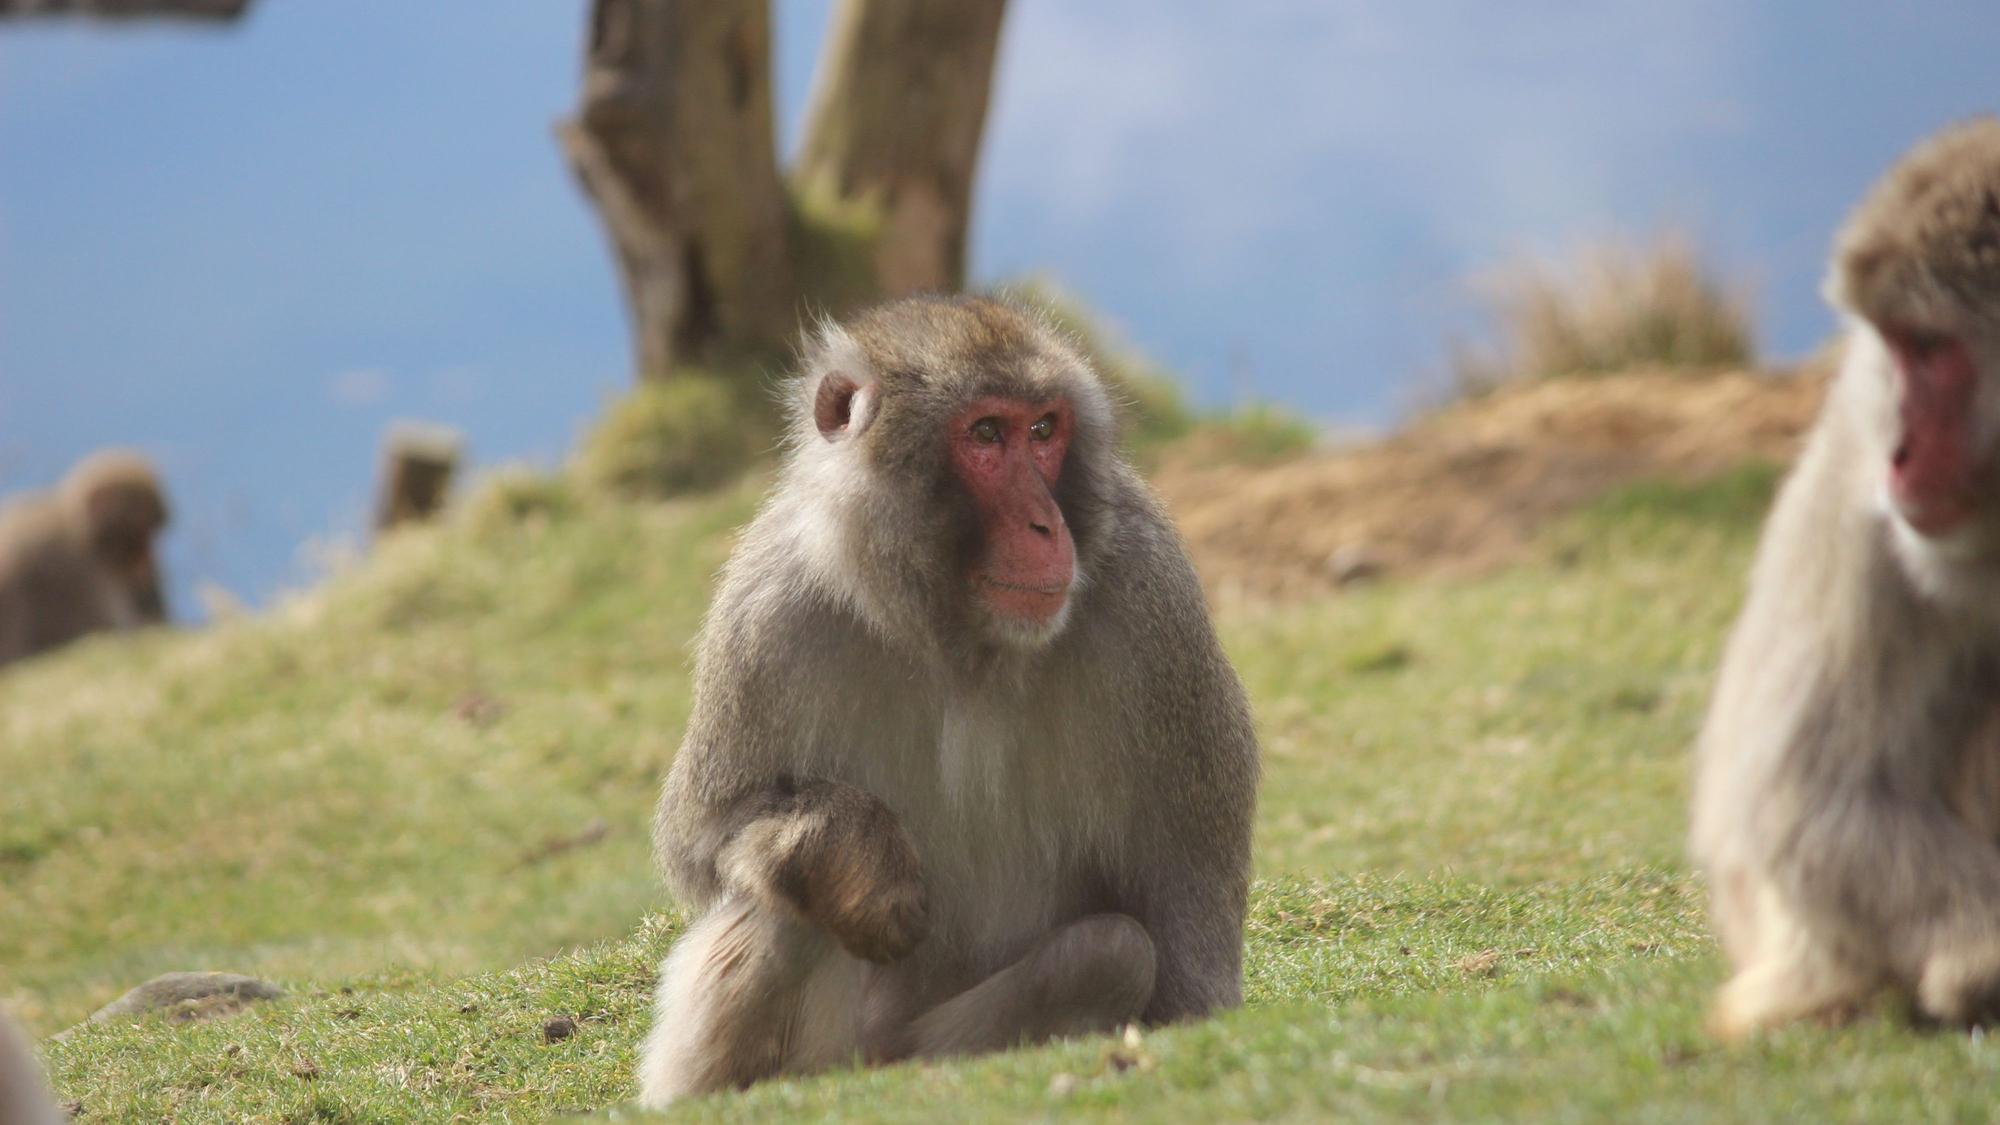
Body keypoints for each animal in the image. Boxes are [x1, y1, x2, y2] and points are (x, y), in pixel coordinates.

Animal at [633, 296, 1259, 1106]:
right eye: (985, 434)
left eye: (1044, 430)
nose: (1046, 525)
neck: (956, 636)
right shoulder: (765, 610)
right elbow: (702, 837)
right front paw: (852, 853)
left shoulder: (1155, 602)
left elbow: (1184, 892)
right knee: (786, 902)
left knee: (1110, 950)